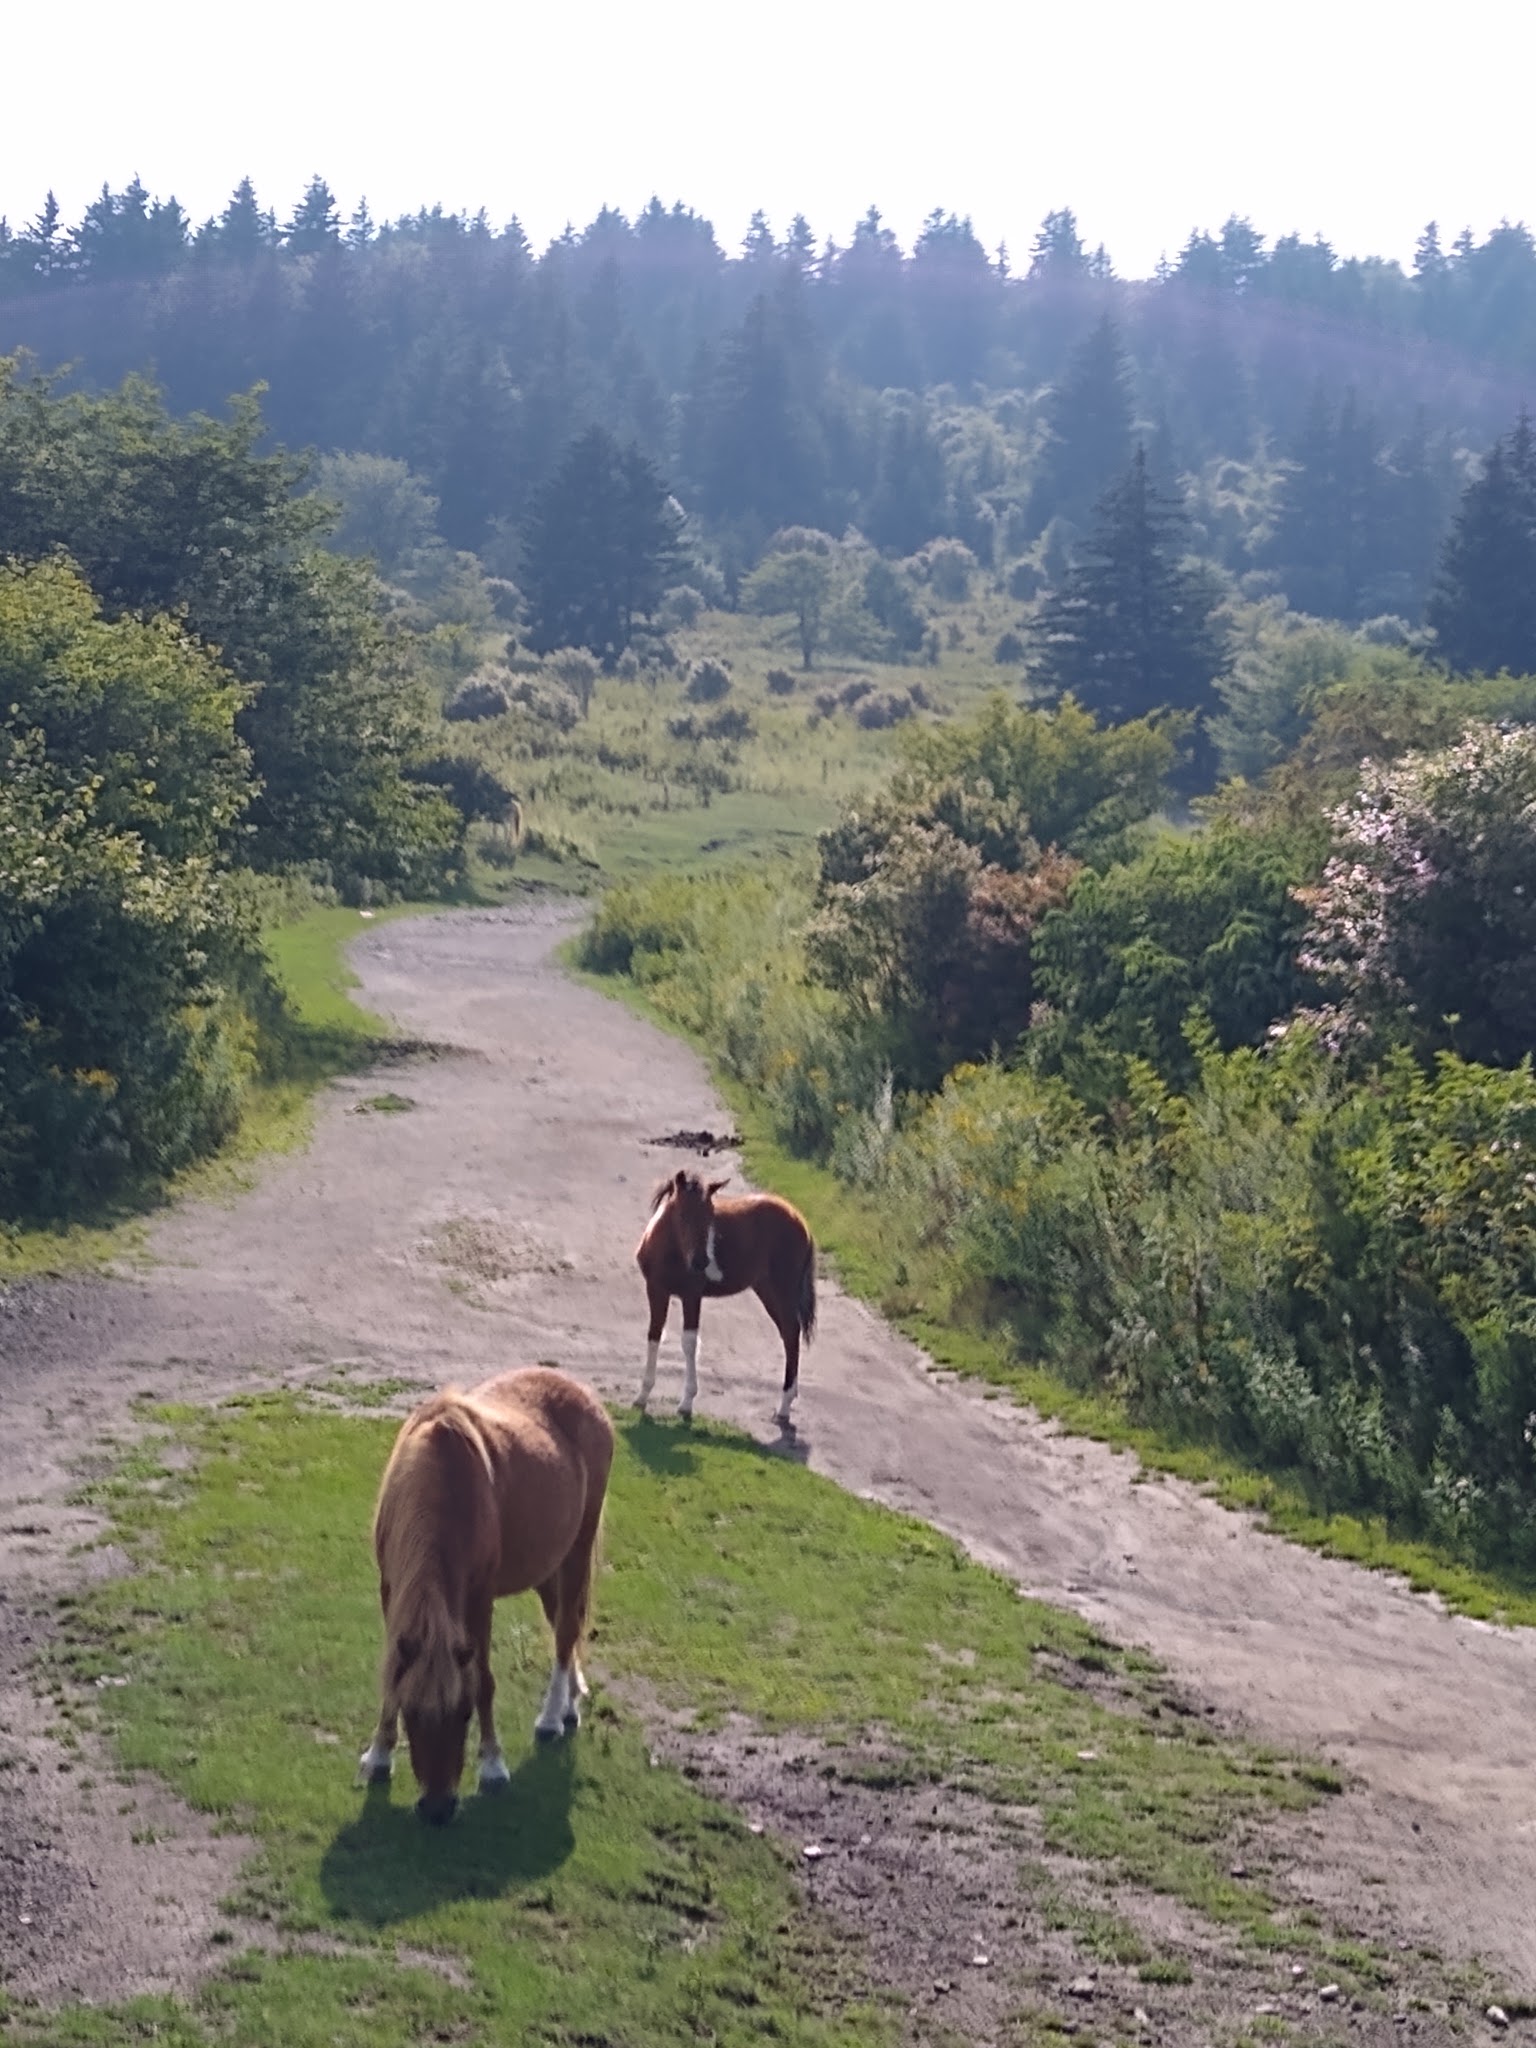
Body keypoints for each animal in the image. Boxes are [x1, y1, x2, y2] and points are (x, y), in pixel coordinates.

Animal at [358, 1365, 613, 1825]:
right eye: (411, 1712)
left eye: (464, 1714)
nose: (438, 1809)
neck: (441, 1477)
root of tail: (583, 1393)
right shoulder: (391, 1590)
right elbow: (393, 1668)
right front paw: (379, 1756)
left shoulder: (479, 1598)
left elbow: (484, 1680)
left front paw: (492, 1765)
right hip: (547, 1565)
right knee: (562, 1624)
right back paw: (569, 1704)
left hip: (576, 1552)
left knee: (566, 1630)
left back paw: (551, 1717)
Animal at [634, 1168, 816, 1426]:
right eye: (682, 1213)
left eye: (711, 1214)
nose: (701, 1262)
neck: (669, 1252)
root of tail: (800, 1220)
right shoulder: (656, 1290)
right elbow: (654, 1335)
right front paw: (642, 1397)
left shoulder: (692, 1296)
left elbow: (690, 1343)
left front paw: (686, 1403)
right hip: (767, 1291)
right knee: (789, 1333)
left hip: (783, 1290)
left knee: (791, 1335)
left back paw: (784, 1406)